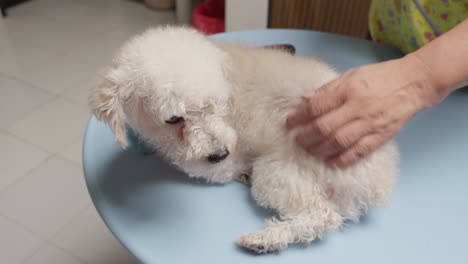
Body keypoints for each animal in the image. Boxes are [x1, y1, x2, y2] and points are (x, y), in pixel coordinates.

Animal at [90, 26, 398, 254]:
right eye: (174, 118)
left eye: (215, 103)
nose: (220, 154)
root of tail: (377, 180)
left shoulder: (211, 164)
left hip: (278, 170)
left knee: (321, 215)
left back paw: (264, 239)